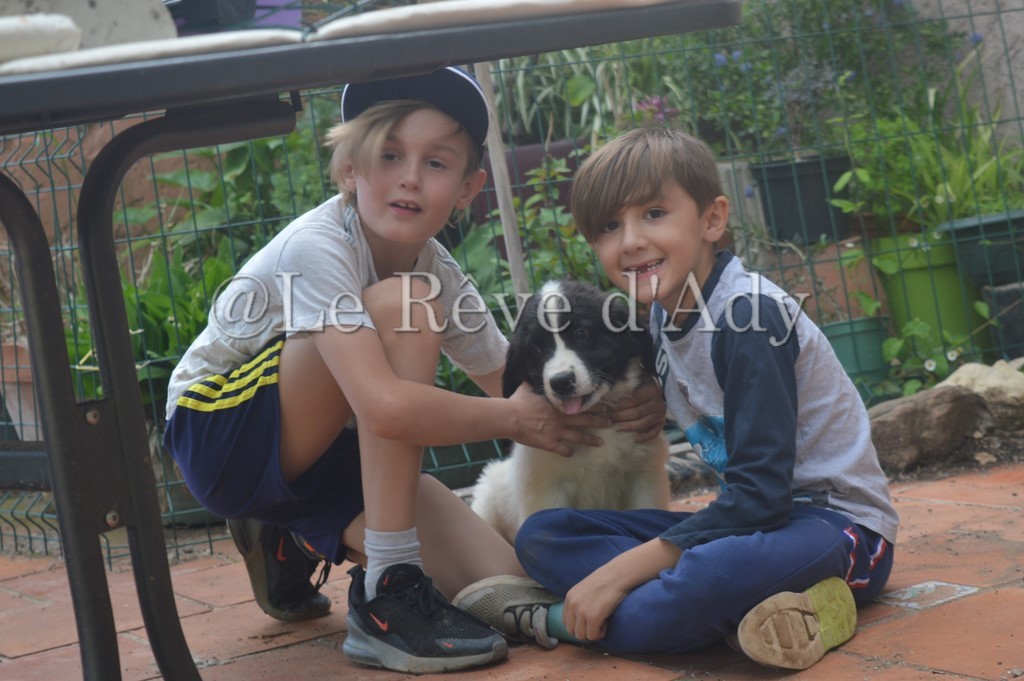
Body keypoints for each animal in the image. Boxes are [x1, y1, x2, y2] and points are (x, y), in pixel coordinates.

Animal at [470, 279, 670, 544]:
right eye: (534, 350)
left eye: (581, 334)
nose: (561, 382)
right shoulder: (547, 490)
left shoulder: (645, 476)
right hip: (487, 497)